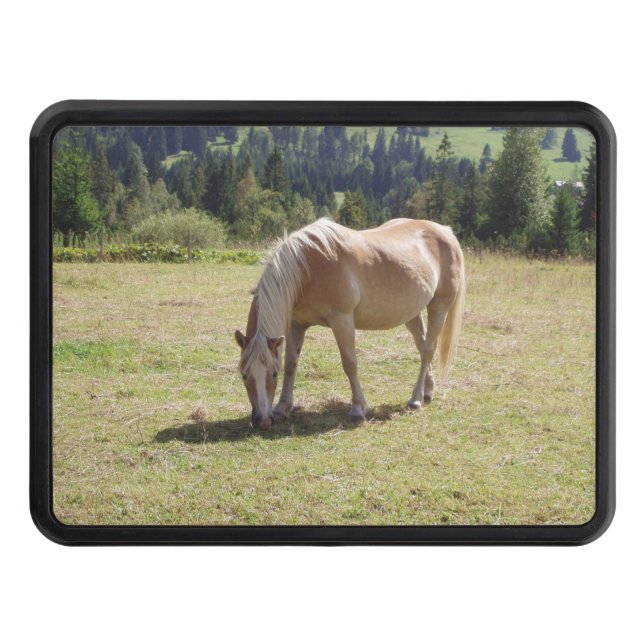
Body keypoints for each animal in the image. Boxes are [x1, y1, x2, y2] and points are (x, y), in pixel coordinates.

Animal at [234, 218, 465, 430]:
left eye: (273, 373)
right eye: (244, 374)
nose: (263, 421)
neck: (307, 268)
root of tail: (445, 231)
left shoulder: (342, 320)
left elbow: (350, 364)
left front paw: (357, 409)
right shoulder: (296, 325)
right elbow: (291, 364)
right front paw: (282, 408)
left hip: (439, 306)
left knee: (428, 350)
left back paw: (415, 399)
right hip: (412, 313)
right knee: (422, 344)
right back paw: (428, 390)